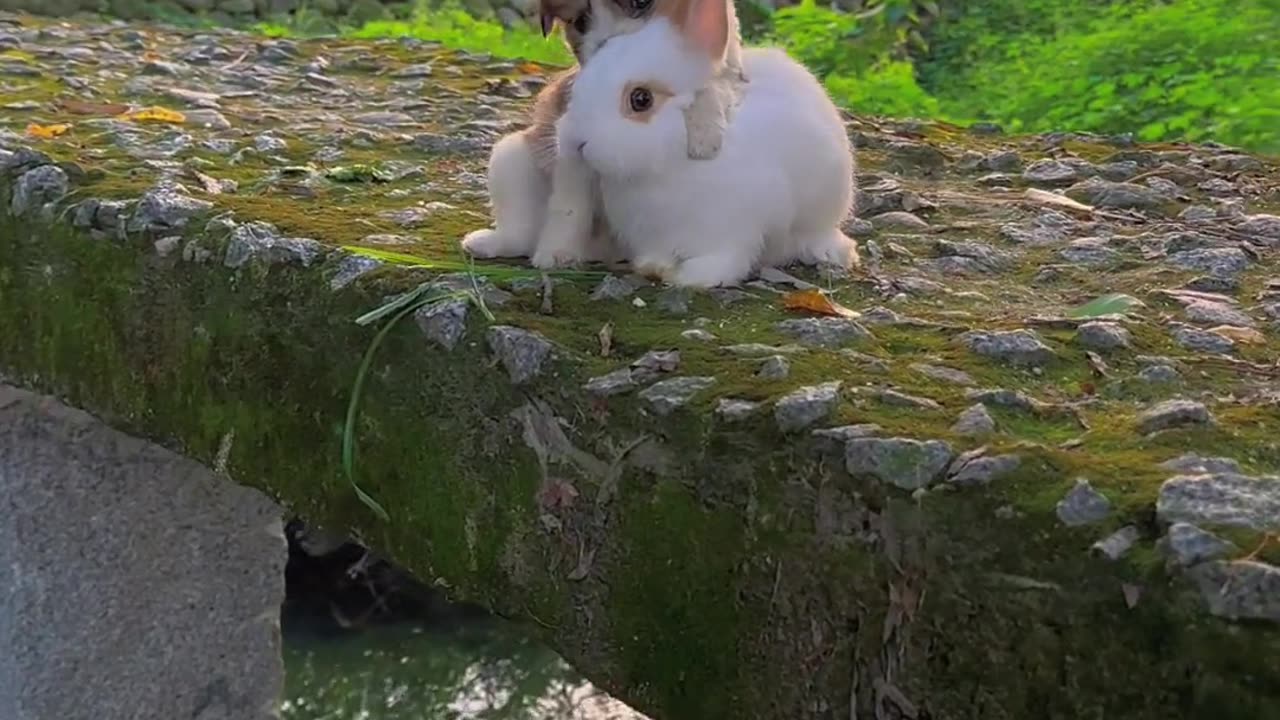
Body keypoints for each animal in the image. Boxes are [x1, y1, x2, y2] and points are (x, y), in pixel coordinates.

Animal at [460, 0, 747, 266]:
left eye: (641, 2)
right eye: (581, 22)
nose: (608, 45)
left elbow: (717, 82)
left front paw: (705, 127)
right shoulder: (569, 146)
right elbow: (569, 205)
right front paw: (556, 252)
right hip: (512, 158)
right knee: (520, 230)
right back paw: (491, 243)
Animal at [555, 0, 855, 285]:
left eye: (641, 99)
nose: (575, 142)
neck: (667, 167)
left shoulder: (732, 233)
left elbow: (725, 260)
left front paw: (692, 279)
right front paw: (653, 267)